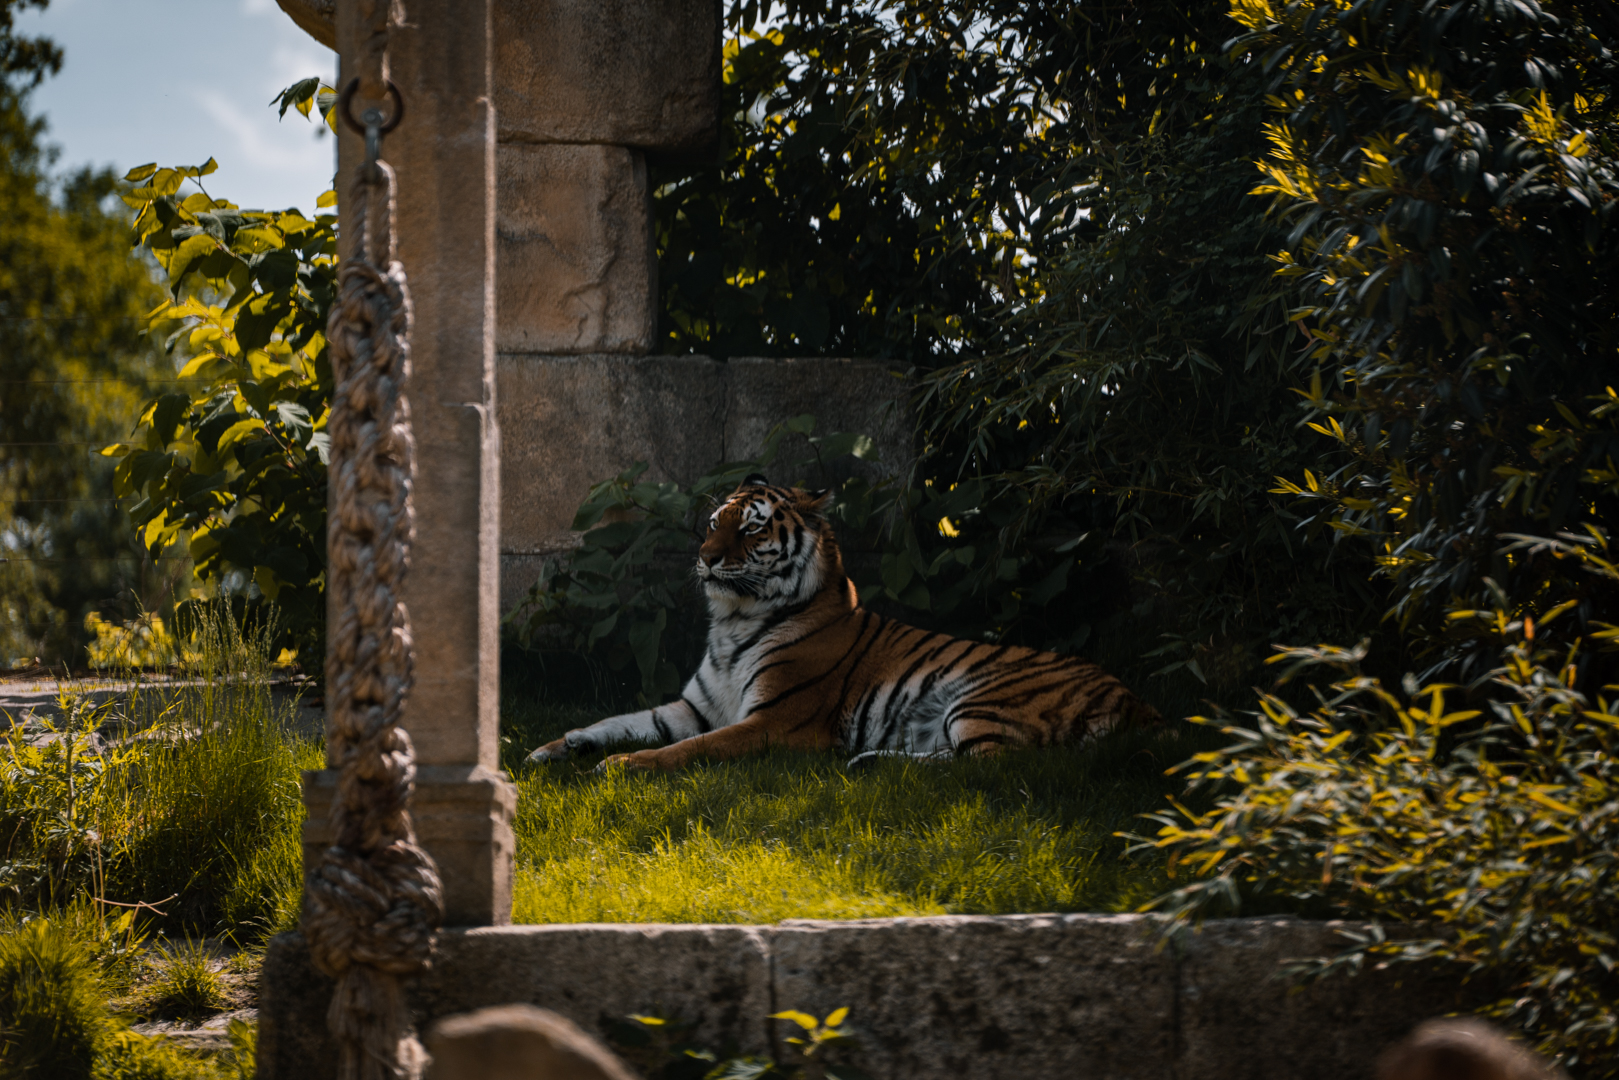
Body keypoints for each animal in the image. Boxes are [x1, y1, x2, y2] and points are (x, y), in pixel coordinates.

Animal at [526, 475, 1161, 771]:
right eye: (712, 523)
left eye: (750, 529)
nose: (705, 557)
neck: (732, 624)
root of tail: (1138, 702)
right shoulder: (692, 708)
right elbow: (618, 719)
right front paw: (553, 747)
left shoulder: (773, 721)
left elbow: (692, 749)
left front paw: (621, 766)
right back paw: (867, 761)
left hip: (984, 697)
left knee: (990, 766)